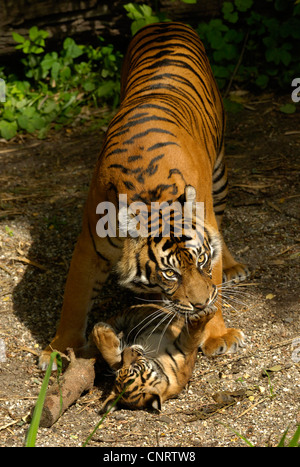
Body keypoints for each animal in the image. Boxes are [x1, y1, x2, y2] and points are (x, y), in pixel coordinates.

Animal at [39, 22, 248, 372]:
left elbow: (215, 280)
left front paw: (218, 334)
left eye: (201, 261)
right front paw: (57, 350)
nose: (199, 304)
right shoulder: (89, 248)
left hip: (219, 174)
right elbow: (74, 301)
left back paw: (233, 267)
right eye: (170, 273)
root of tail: (165, 23)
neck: (152, 196)